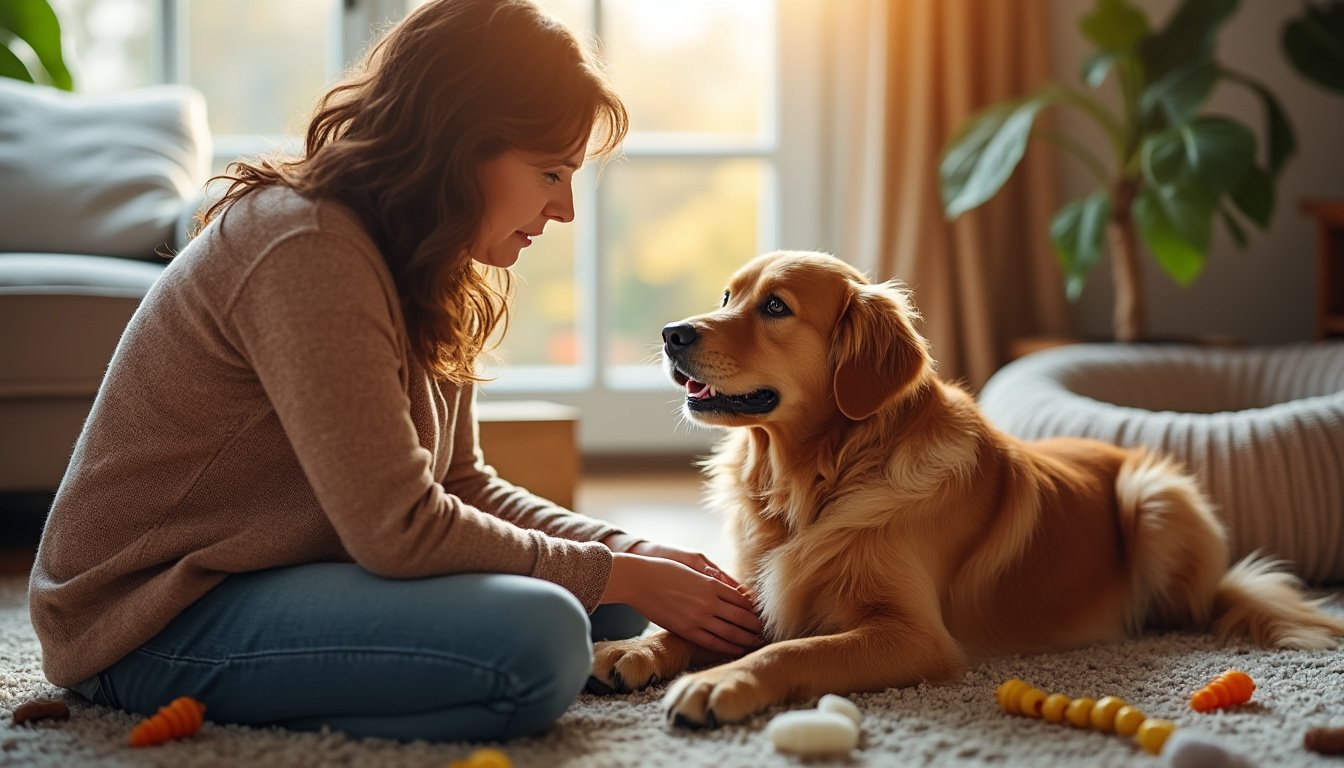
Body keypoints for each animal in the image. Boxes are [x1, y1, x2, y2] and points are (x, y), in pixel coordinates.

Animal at [594, 251, 1344, 726]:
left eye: (776, 306)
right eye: (727, 296)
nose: (672, 334)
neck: (817, 480)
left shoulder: (915, 637)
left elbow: (794, 647)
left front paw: (722, 681)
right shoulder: (757, 592)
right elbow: (691, 623)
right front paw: (636, 650)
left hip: (1154, 497)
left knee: (1201, 607)